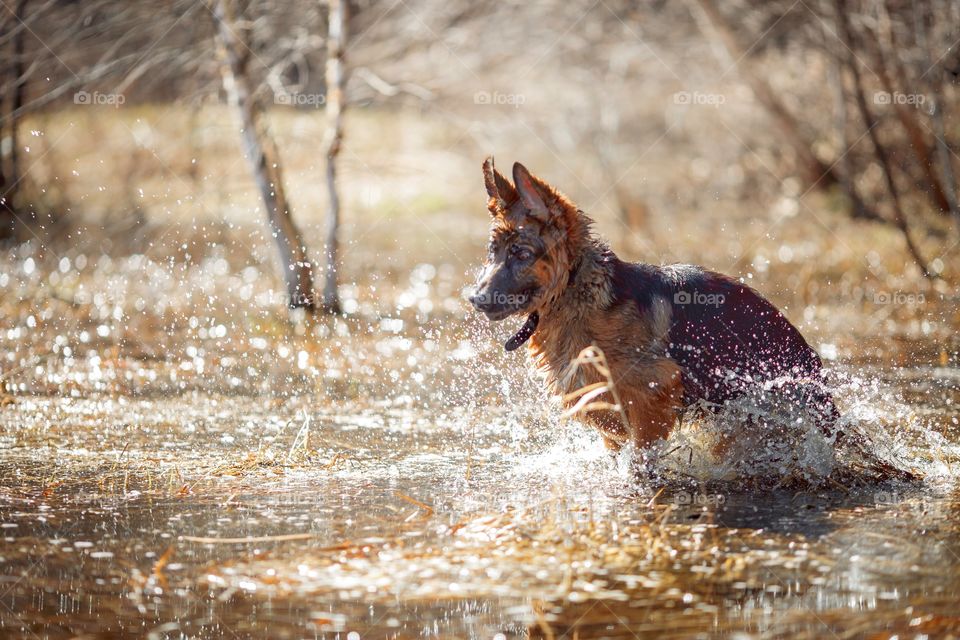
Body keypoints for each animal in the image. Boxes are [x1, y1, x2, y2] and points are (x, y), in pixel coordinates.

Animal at [470, 160, 840, 460]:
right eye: (492, 252)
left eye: (520, 253)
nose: (475, 298)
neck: (576, 289)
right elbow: (608, 426)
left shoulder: (656, 389)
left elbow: (639, 449)